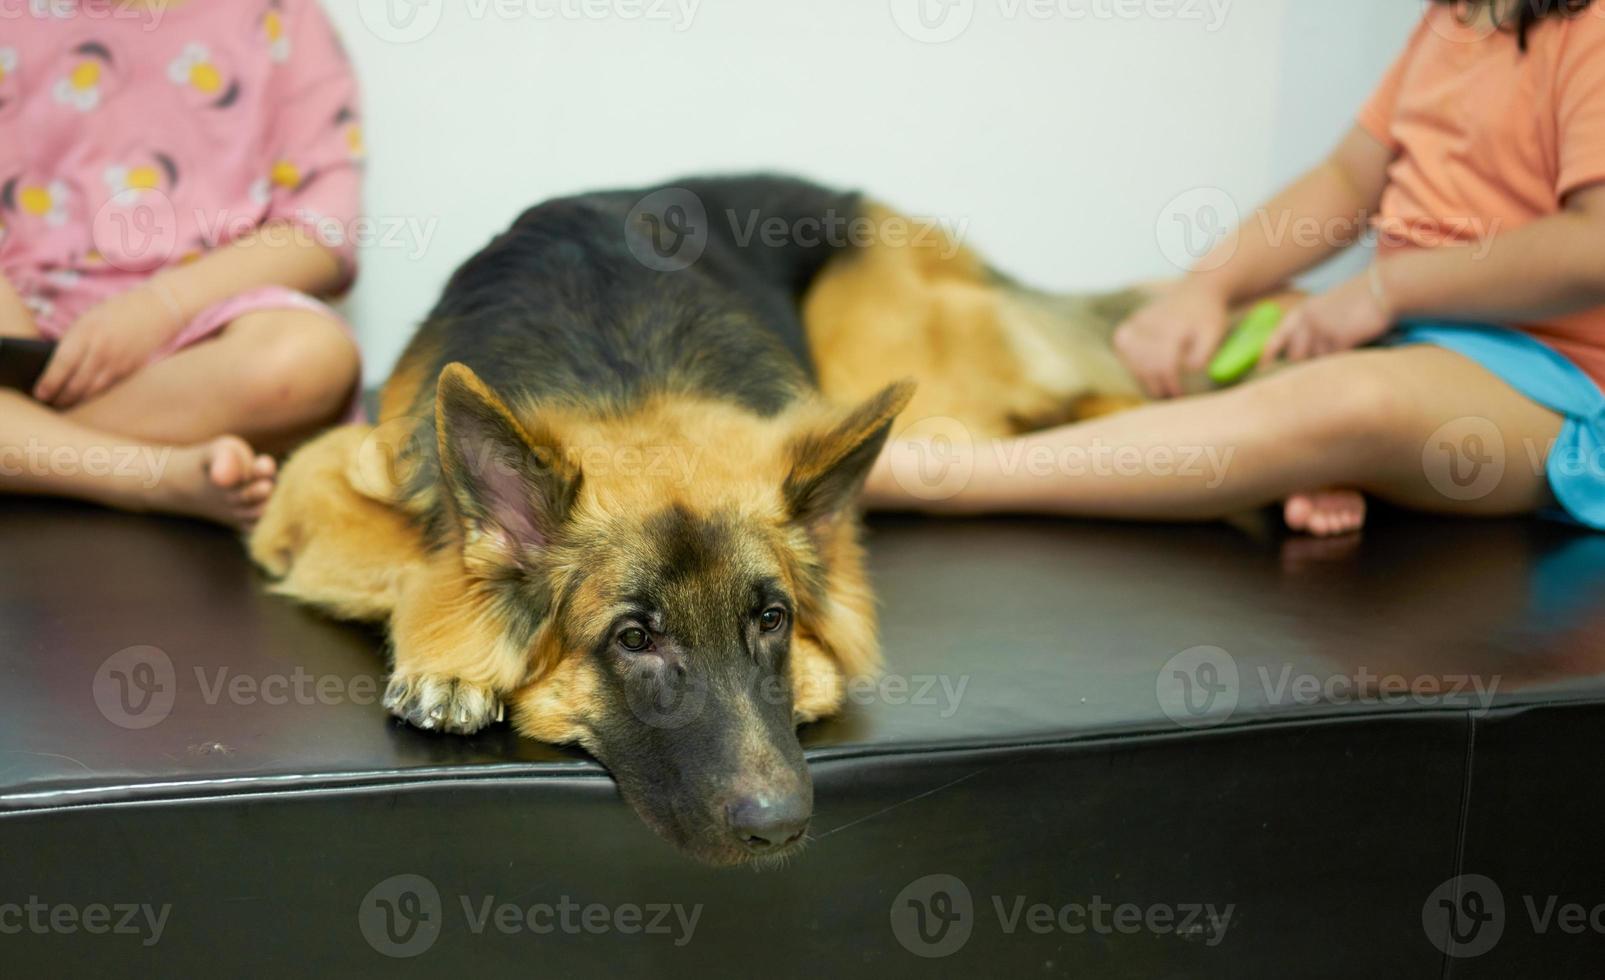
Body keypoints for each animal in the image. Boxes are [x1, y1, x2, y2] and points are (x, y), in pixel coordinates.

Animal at [250, 174, 1142, 866]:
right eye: (634, 638)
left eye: (771, 620)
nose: (780, 829)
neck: (620, 369)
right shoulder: (314, 475)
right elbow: (418, 557)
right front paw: (454, 657)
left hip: (929, 412)